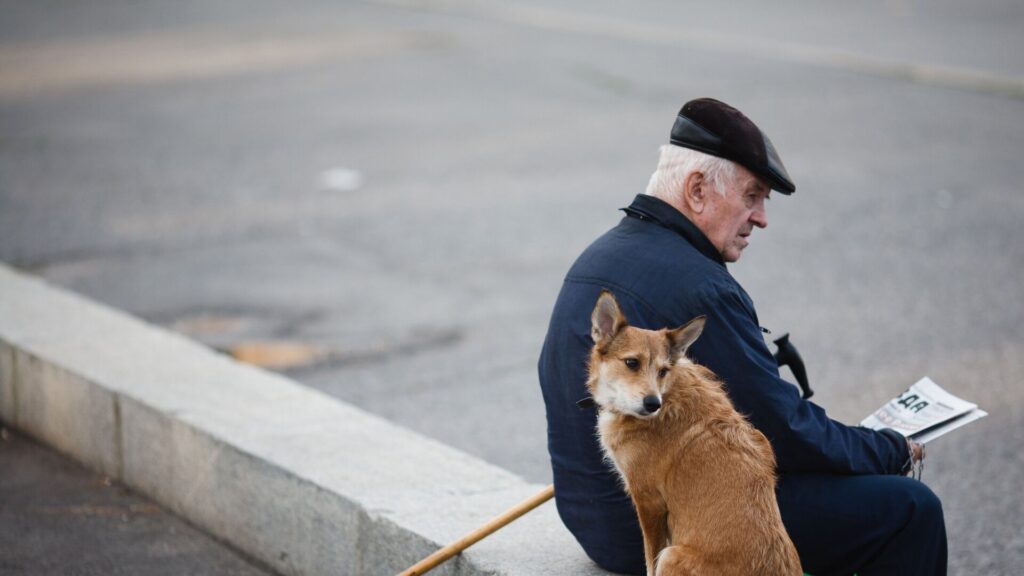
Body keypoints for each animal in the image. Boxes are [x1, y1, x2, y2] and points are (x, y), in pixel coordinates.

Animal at [589, 291, 802, 573]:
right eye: (631, 363)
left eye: (663, 371)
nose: (652, 403)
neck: (668, 395)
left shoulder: (648, 501)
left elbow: (649, 561)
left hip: (671, 554)